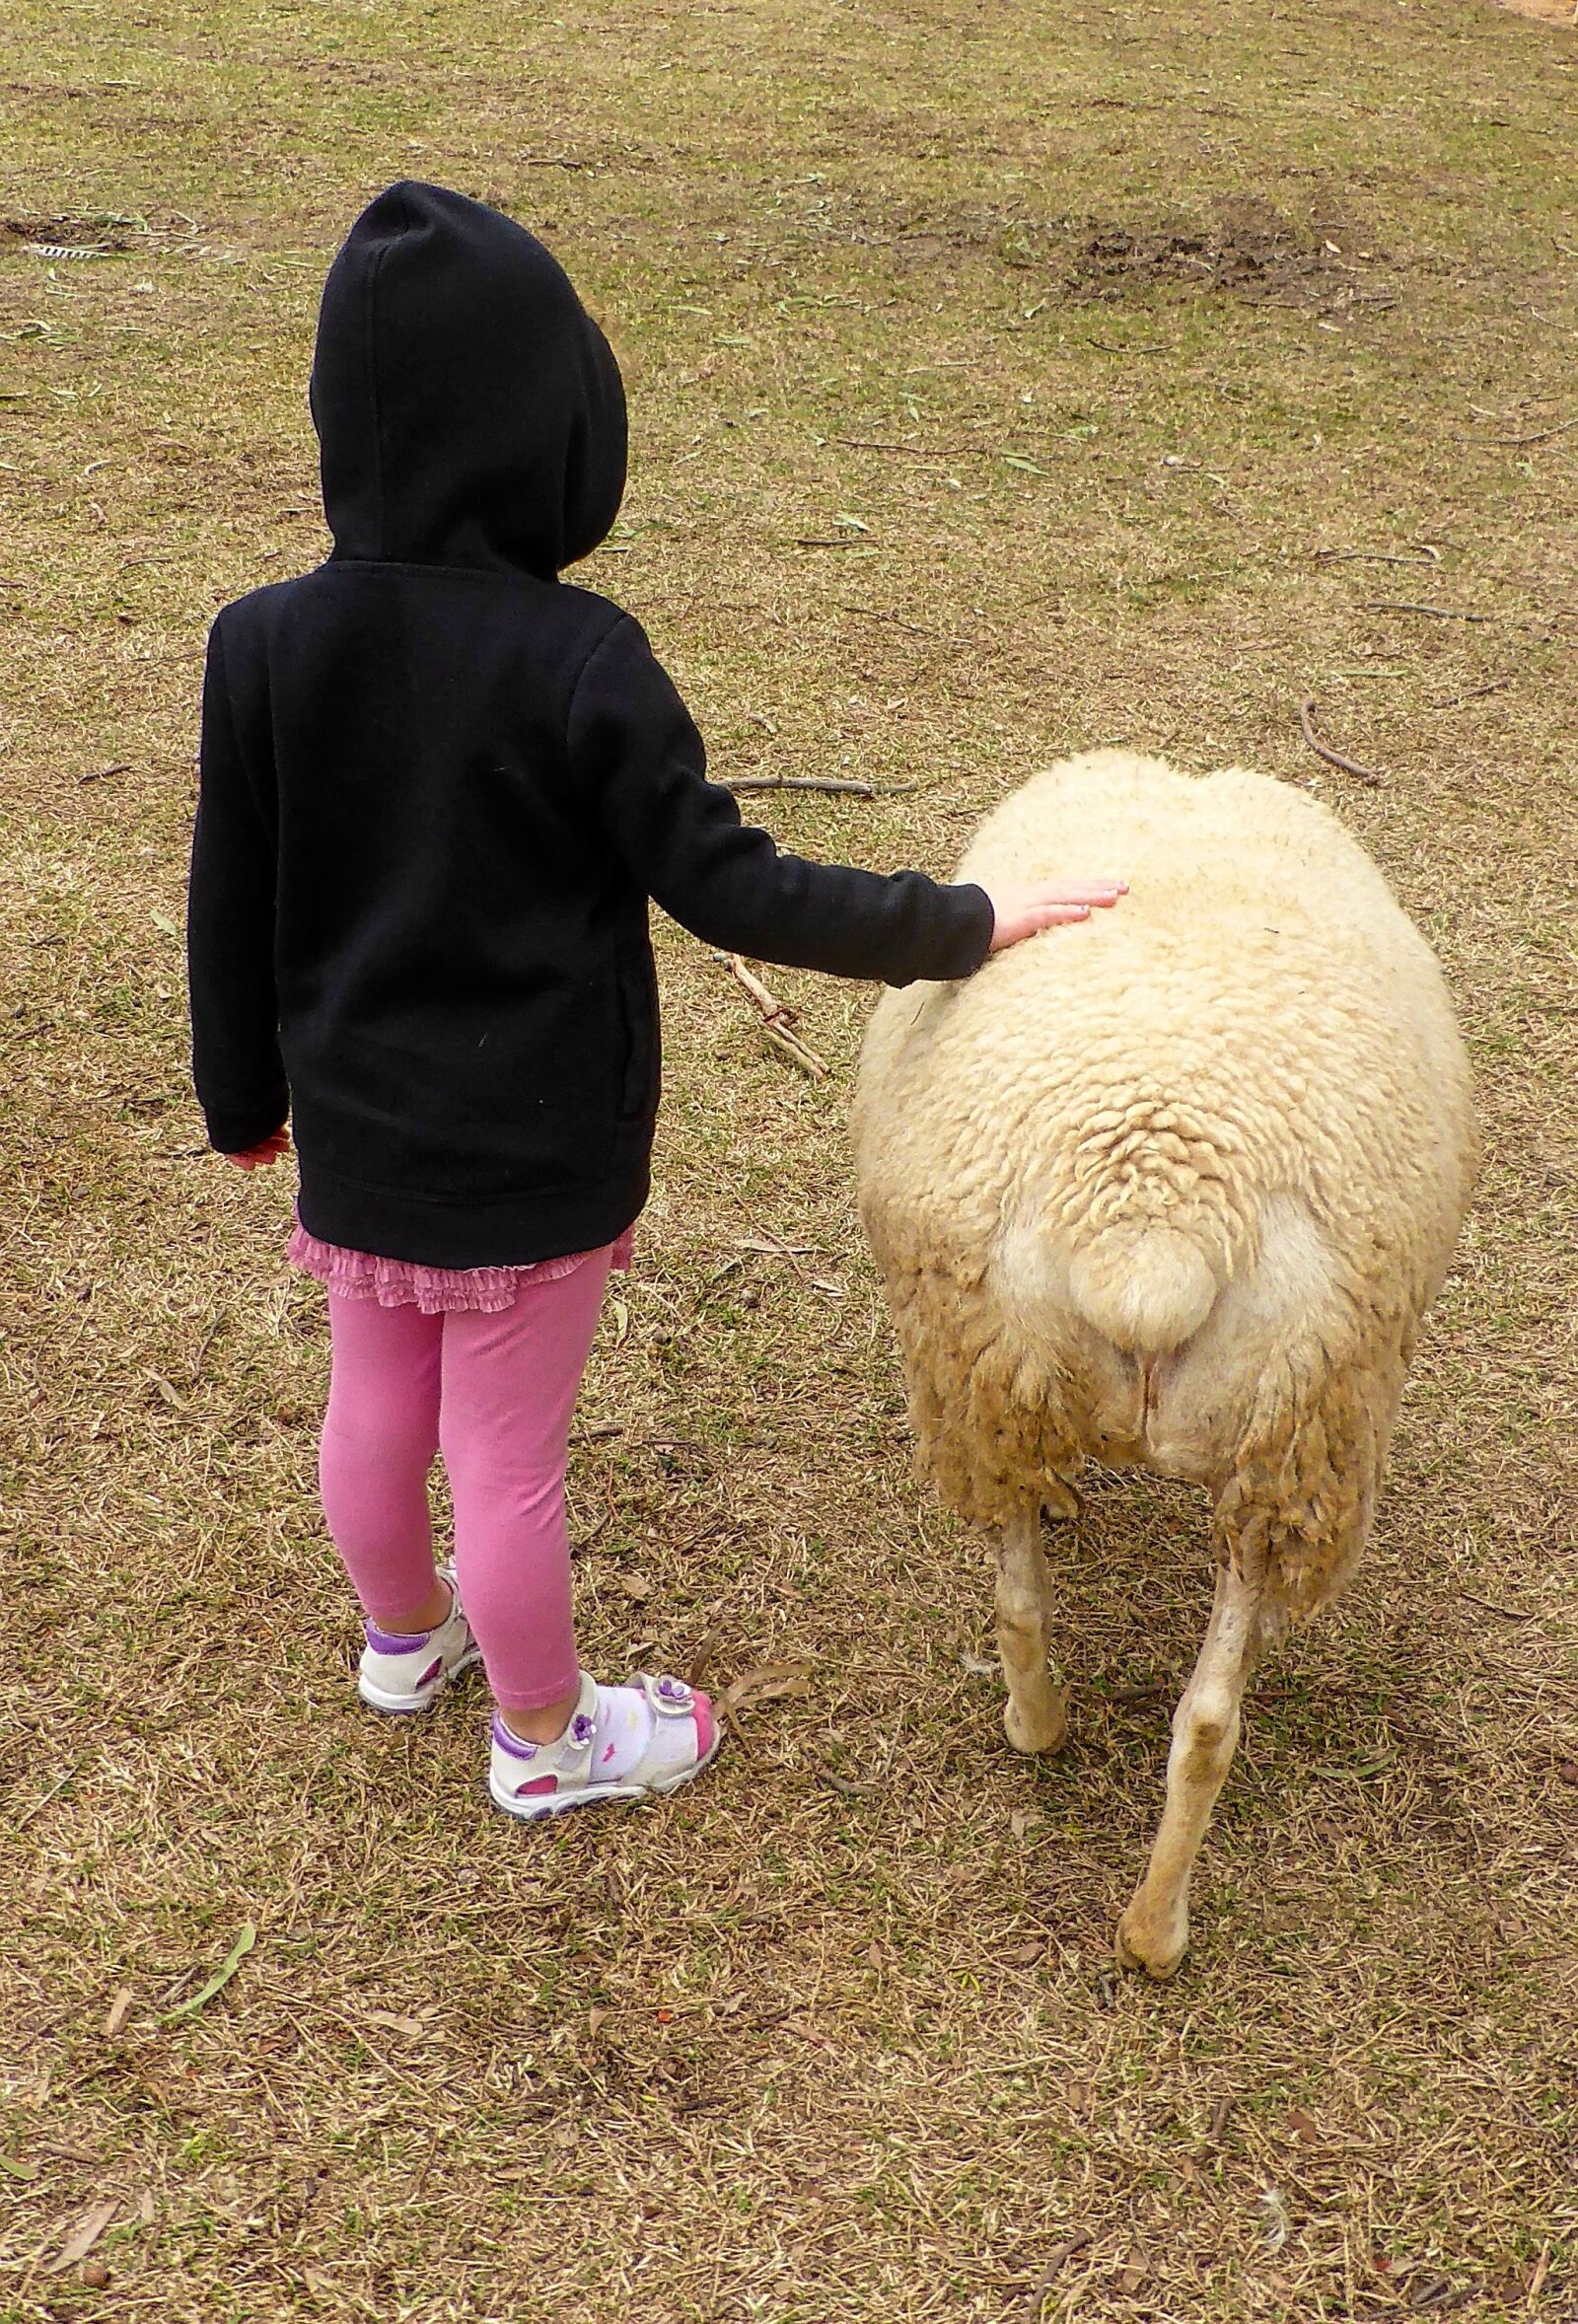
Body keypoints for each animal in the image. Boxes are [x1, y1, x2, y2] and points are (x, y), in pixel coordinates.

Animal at [859, 748, 1477, 1980]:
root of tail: (1153, 1229)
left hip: (1008, 1390)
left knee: (1064, 1634)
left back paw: (1094, 1829)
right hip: (1287, 1430)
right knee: (1197, 1708)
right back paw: (1152, 1913)